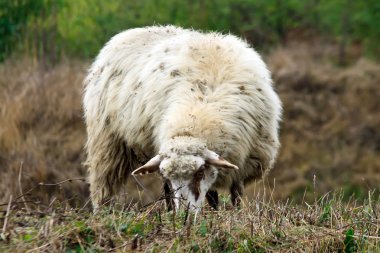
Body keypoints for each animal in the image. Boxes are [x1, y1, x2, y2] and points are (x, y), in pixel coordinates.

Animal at [84, 25, 282, 211]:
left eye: (199, 173)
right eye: (172, 178)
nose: (184, 213)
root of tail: (126, 34)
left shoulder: (245, 162)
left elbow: (236, 195)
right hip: (107, 144)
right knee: (104, 188)